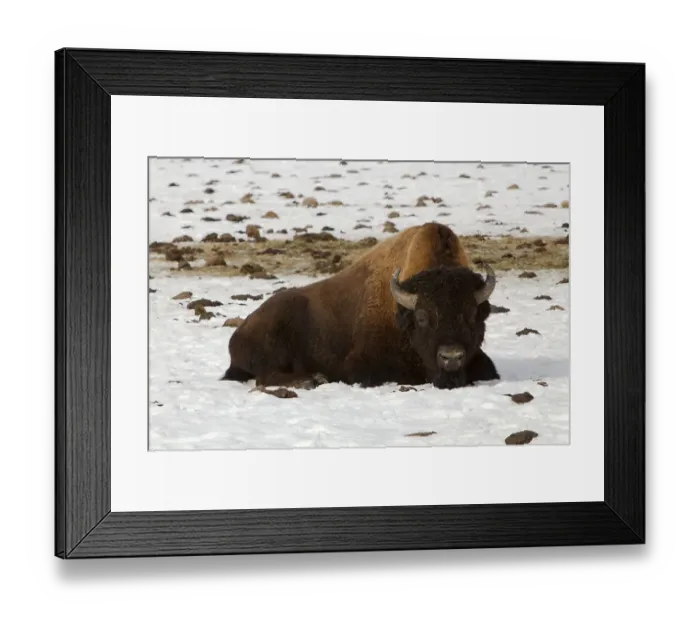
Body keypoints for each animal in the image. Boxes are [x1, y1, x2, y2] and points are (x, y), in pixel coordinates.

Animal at [222, 223, 500, 389]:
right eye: (421, 316)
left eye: (473, 315)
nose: (451, 357)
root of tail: (238, 334)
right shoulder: (361, 366)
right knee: (265, 376)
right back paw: (311, 379)